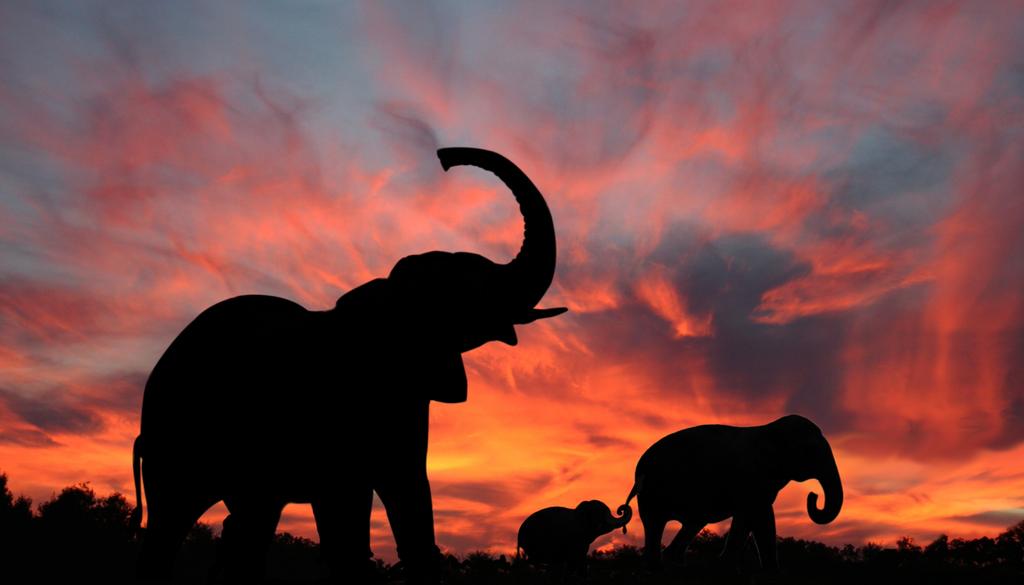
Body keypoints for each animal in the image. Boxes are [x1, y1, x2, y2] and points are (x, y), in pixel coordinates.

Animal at [128, 147, 567, 584]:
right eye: (458, 292)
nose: (445, 157)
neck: (386, 296)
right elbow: (346, 506)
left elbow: (406, 488)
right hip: (176, 427)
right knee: (173, 519)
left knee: (251, 521)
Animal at [623, 414, 842, 573]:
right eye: (811, 452)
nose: (813, 495)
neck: (768, 429)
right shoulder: (748, 474)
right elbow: (760, 515)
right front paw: (775, 574)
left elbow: (745, 517)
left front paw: (725, 569)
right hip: (652, 488)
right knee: (656, 521)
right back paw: (659, 569)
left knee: (694, 520)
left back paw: (673, 562)